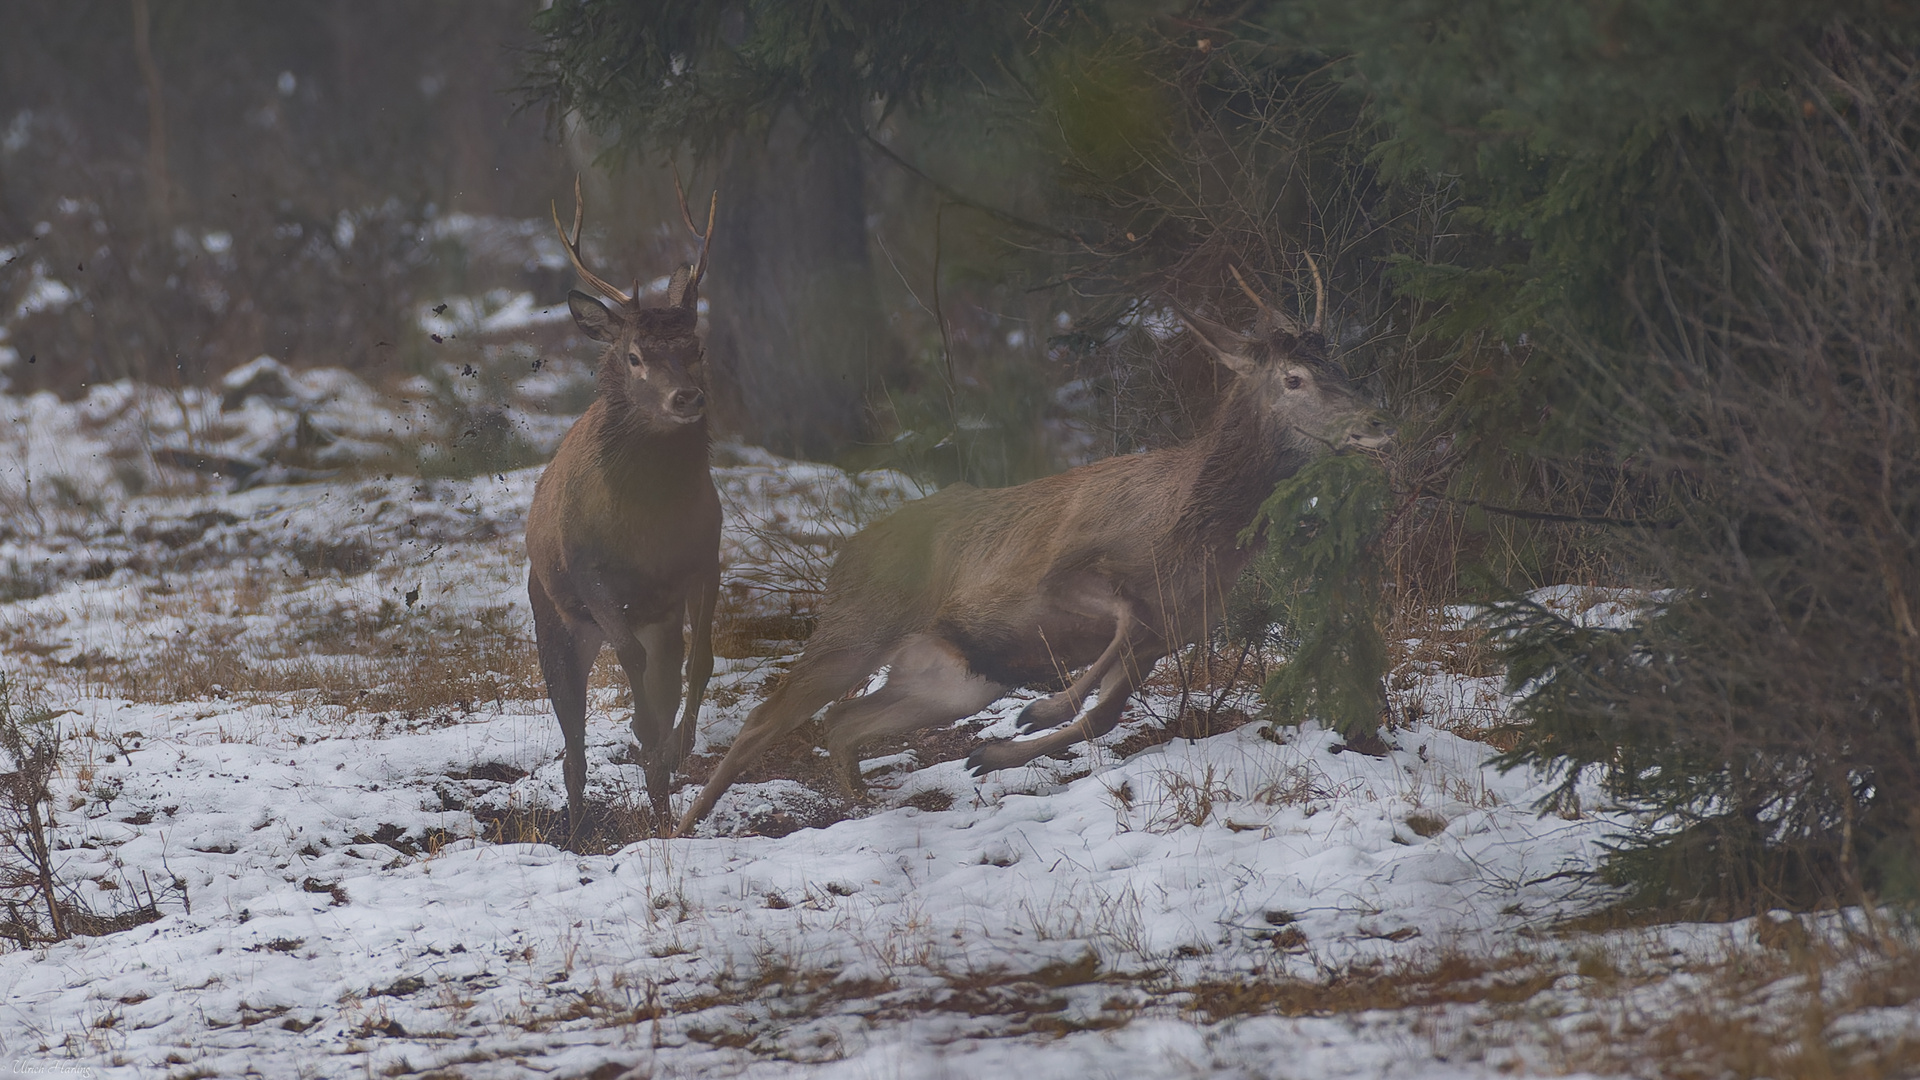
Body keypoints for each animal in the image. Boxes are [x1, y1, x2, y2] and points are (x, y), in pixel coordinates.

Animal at [526, 176, 721, 837]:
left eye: (696, 347)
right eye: (634, 356)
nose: (686, 398)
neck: (647, 526)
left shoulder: (706, 558)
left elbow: (701, 660)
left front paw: (676, 748)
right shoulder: (591, 575)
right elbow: (631, 663)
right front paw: (647, 733)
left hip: (652, 614)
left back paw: (661, 803)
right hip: (554, 619)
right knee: (572, 747)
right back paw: (575, 825)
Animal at [679, 263, 1397, 834]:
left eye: (1342, 365)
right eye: (1295, 378)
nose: (1378, 420)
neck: (1185, 537)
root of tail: (845, 556)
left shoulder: (1174, 635)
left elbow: (1104, 716)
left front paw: (991, 754)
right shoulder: (1060, 574)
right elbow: (1121, 622)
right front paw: (1037, 709)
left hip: (952, 677)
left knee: (844, 720)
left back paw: (859, 802)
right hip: (855, 628)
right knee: (766, 717)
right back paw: (684, 823)